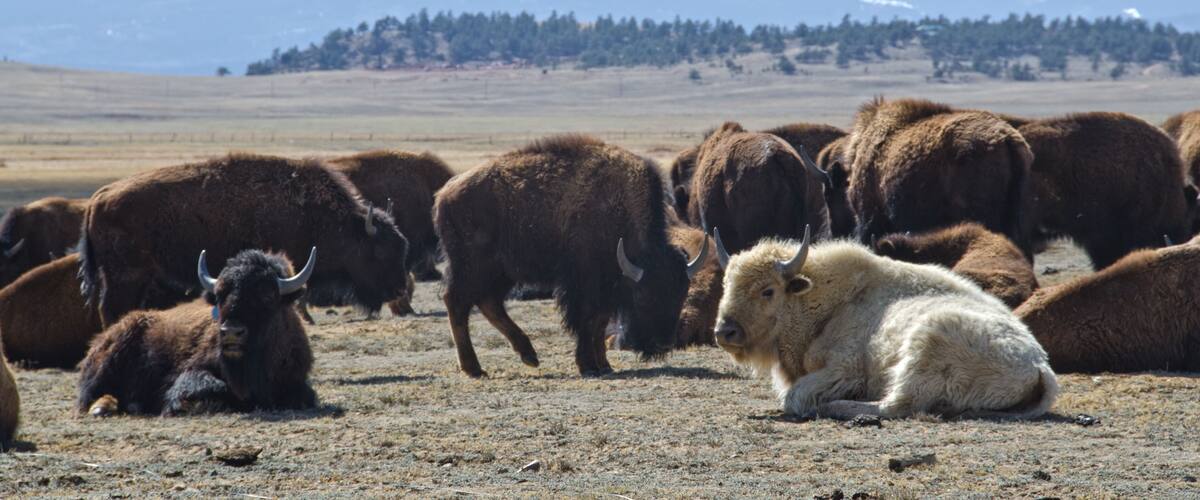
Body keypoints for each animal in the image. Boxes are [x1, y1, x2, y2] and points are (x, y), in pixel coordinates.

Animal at [79, 154, 409, 326]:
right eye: (379, 251)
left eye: (401, 246)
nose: (398, 289)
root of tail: (99, 197)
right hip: (125, 276)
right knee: (111, 309)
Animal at [434, 135, 706, 377]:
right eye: (642, 295)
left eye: (682, 292)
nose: (664, 343)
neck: (617, 207)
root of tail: (445, 194)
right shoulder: (584, 283)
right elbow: (587, 320)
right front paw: (588, 366)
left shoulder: (606, 287)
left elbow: (599, 322)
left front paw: (604, 365)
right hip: (472, 267)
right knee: (457, 303)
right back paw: (474, 368)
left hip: (501, 272)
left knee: (489, 303)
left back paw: (529, 356)